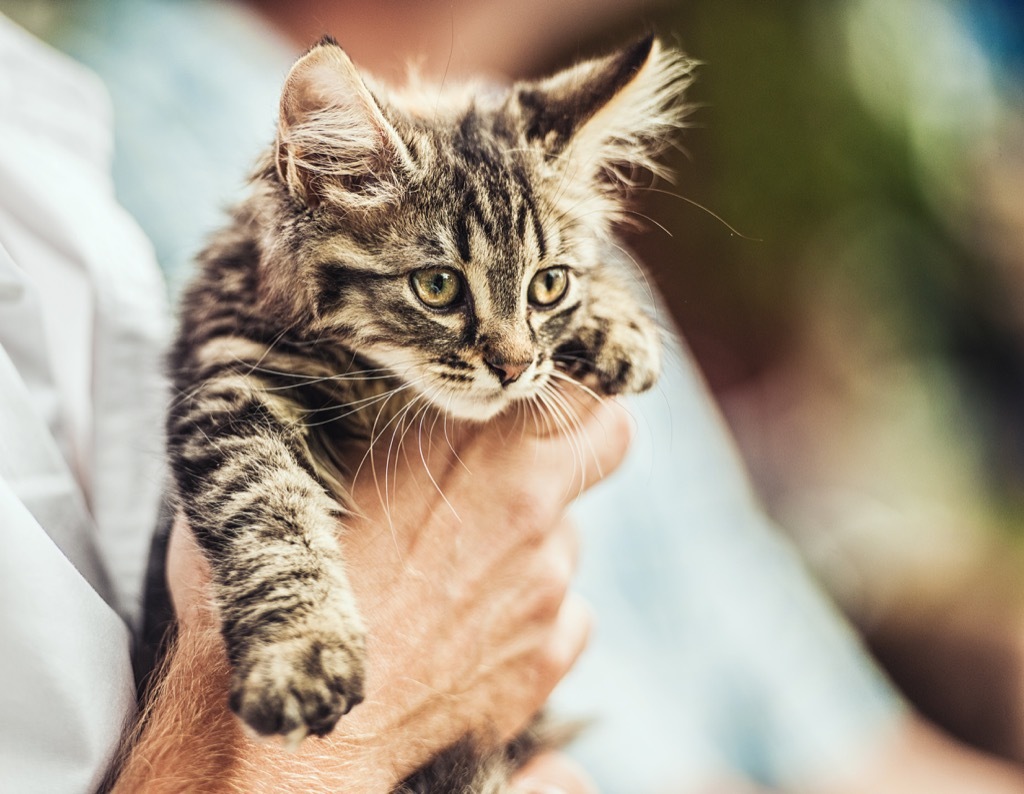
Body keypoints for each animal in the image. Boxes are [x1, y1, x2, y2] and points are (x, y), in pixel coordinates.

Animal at [167, 32, 692, 786]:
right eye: (438, 286)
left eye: (548, 285)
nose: (511, 367)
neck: (372, 381)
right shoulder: (231, 387)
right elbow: (273, 521)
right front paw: (303, 655)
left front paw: (616, 323)